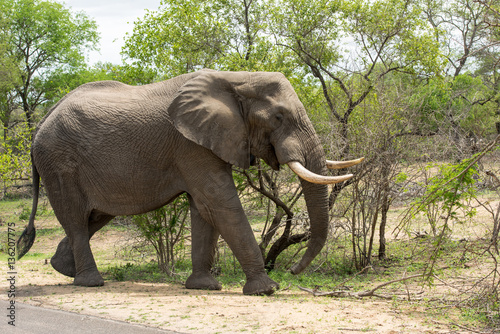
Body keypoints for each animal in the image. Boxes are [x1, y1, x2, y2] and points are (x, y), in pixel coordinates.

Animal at [17, 70, 362, 294]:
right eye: (279, 117)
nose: (292, 270)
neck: (237, 78)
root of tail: (39, 124)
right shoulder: (190, 145)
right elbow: (219, 203)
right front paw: (266, 289)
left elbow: (204, 209)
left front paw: (205, 287)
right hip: (59, 163)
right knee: (76, 217)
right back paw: (90, 282)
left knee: (95, 215)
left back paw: (64, 269)